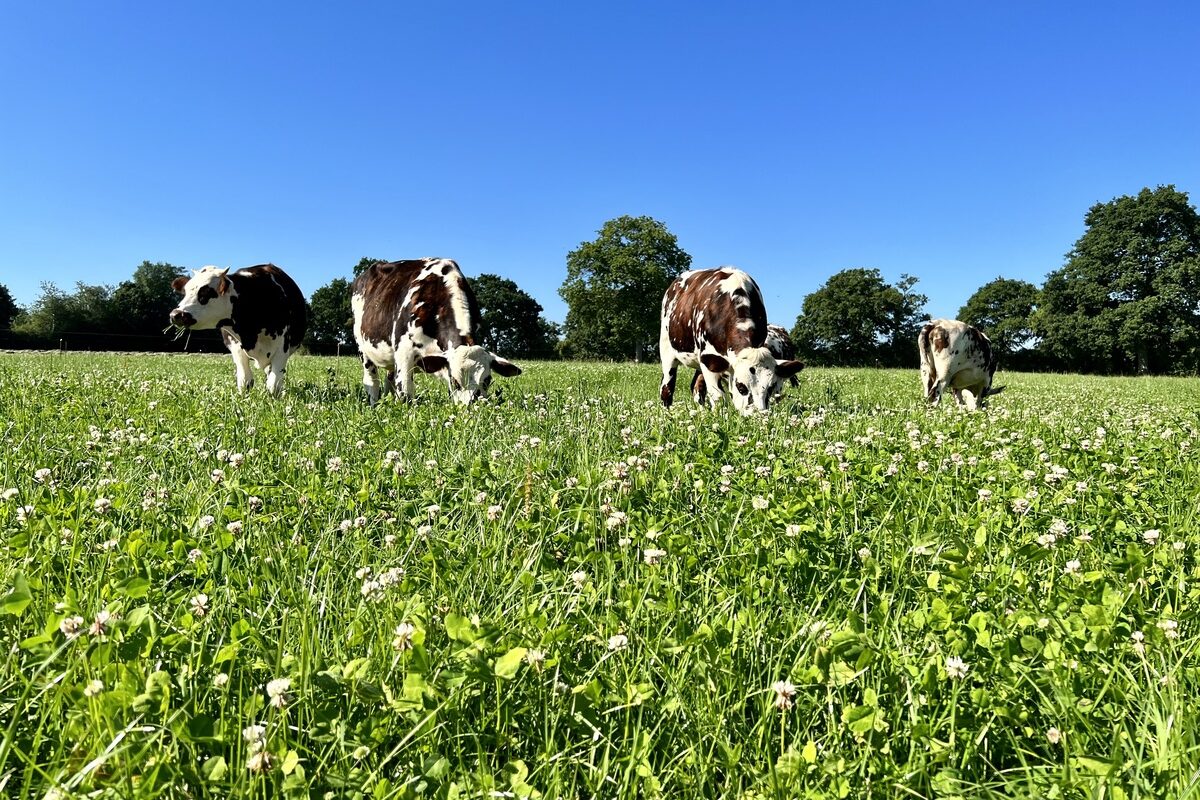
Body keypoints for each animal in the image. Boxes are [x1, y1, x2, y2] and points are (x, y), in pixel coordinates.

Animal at [170, 263, 309, 395]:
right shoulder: (235, 345)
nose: (175, 314)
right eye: (185, 292)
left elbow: (274, 385)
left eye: (205, 293)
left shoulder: (282, 347)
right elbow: (245, 381)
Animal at [345, 257, 518, 407]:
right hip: (363, 349)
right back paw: (374, 405)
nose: (472, 406)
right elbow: (406, 393)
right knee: (372, 382)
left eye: (487, 380)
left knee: (390, 380)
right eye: (455, 380)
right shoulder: (404, 352)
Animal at [657, 268, 806, 419]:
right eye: (741, 387)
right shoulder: (708, 356)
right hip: (667, 350)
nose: (757, 416)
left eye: (770, 388)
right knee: (667, 388)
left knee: (696, 386)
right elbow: (718, 396)